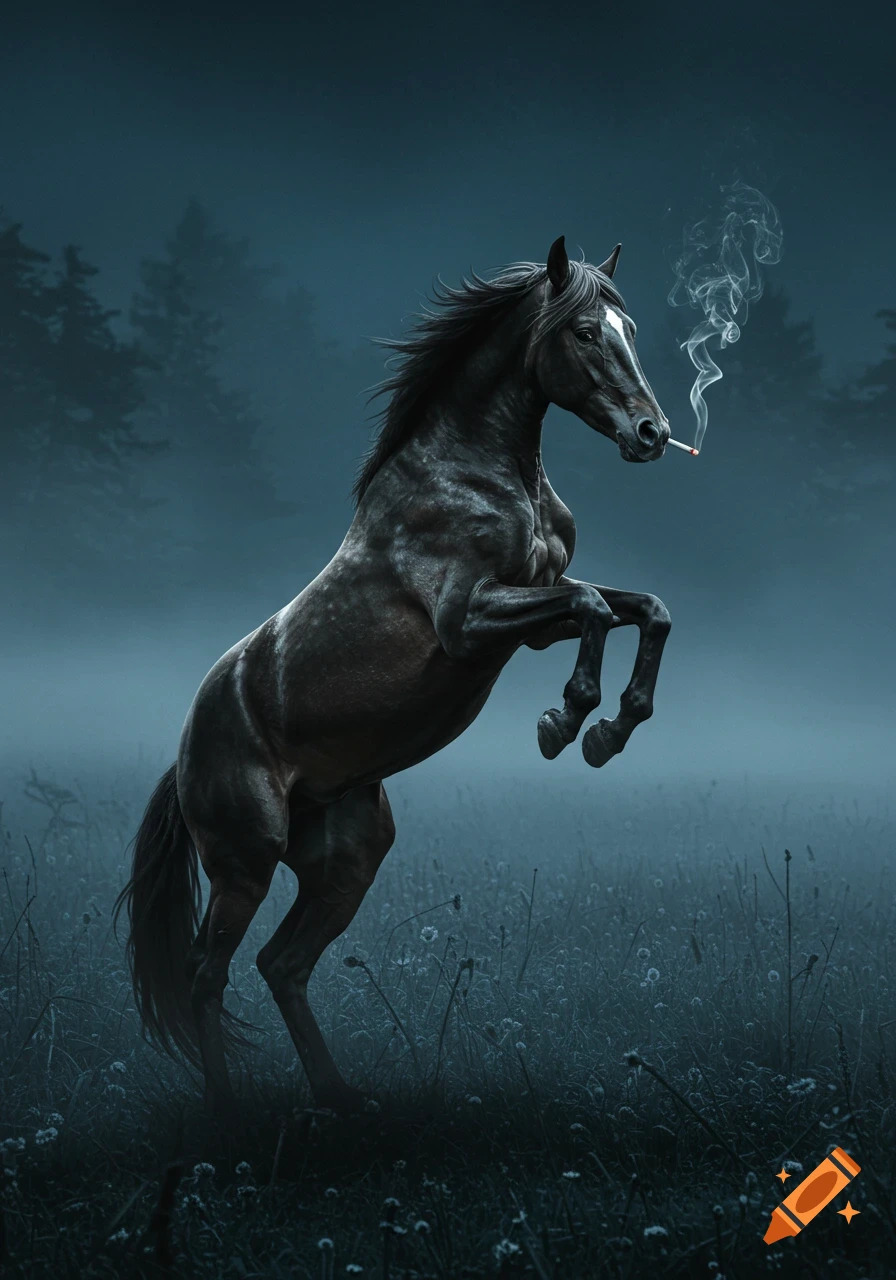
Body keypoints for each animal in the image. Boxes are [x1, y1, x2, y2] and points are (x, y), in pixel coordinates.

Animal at [114, 234, 672, 1114]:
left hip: (349, 859)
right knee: (210, 973)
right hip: (243, 862)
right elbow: (590, 605)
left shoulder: (532, 619)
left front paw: (611, 729)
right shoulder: (469, 621)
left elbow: (644, 608)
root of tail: (183, 755)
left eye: (631, 328)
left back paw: (340, 1098)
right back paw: (229, 1109)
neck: (481, 474)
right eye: (585, 331)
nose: (652, 432)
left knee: (282, 965)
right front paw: (568, 725)